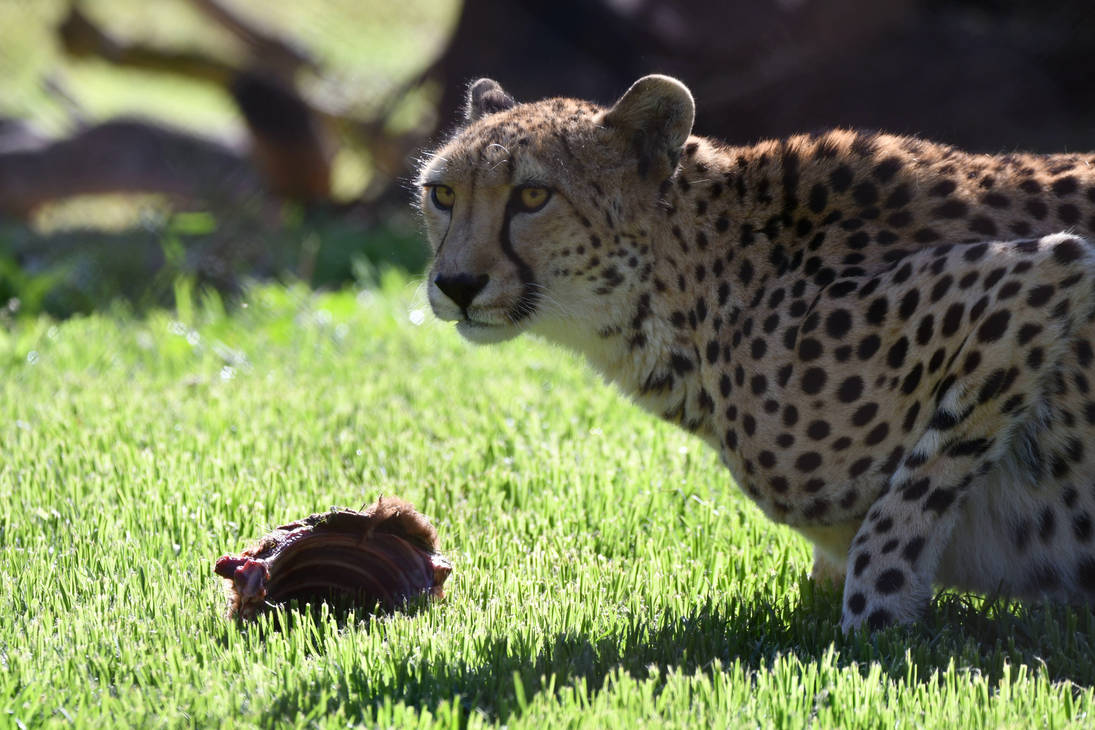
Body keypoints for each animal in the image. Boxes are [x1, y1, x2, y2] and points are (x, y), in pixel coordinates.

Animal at [415, 74, 1095, 633]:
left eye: (533, 196)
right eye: (442, 194)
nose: (455, 284)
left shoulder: (1042, 273)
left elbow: (905, 506)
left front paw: (874, 627)